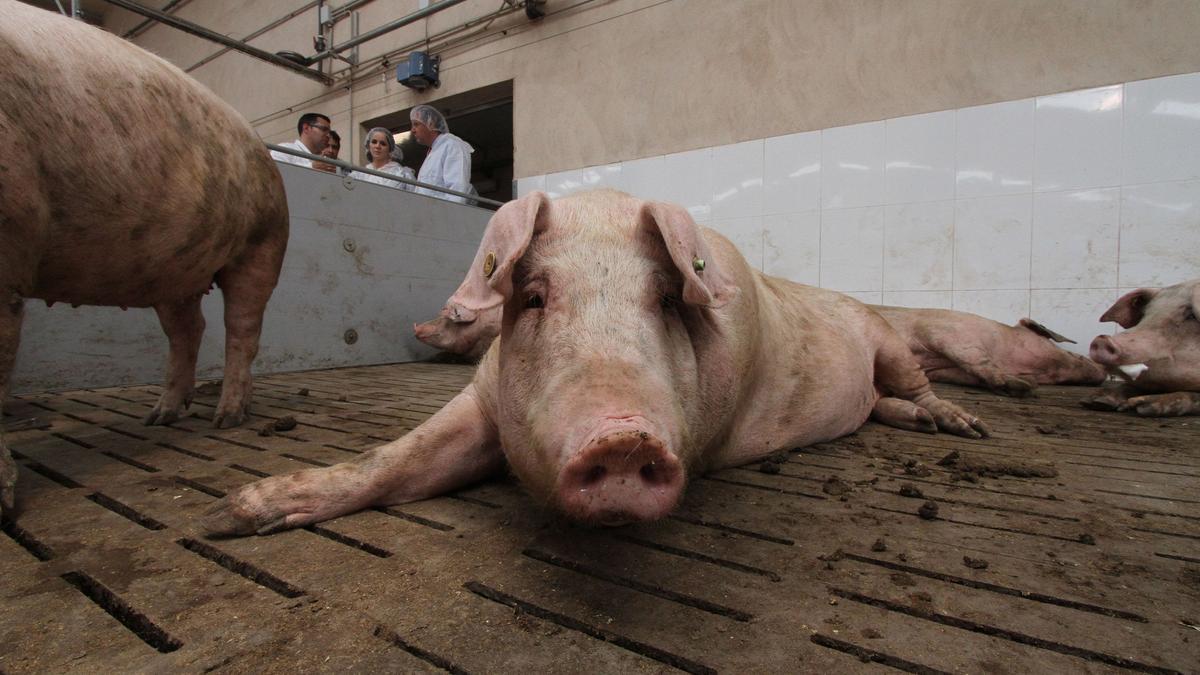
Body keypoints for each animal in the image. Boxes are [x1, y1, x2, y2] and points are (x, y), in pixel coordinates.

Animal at [0, 1, 290, 514]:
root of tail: (260, 144)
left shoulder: (12, 231)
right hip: (175, 268)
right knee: (188, 329)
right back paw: (160, 417)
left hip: (261, 243)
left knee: (241, 329)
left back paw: (227, 418)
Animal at [204, 186, 984, 533]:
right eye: (535, 296)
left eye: (666, 299)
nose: (621, 436)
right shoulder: (483, 398)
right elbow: (396, 459)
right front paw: (233, 512)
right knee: (885, 404)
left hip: (884, 338)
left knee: (915, 384)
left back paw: (963, 426)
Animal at [873, 303, 1104, 393]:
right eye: (1069, 351)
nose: (1102, 371)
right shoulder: (947, 332)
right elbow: (975, 359)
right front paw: (1018, 384)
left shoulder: (941, 369)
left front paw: (1022, 384)